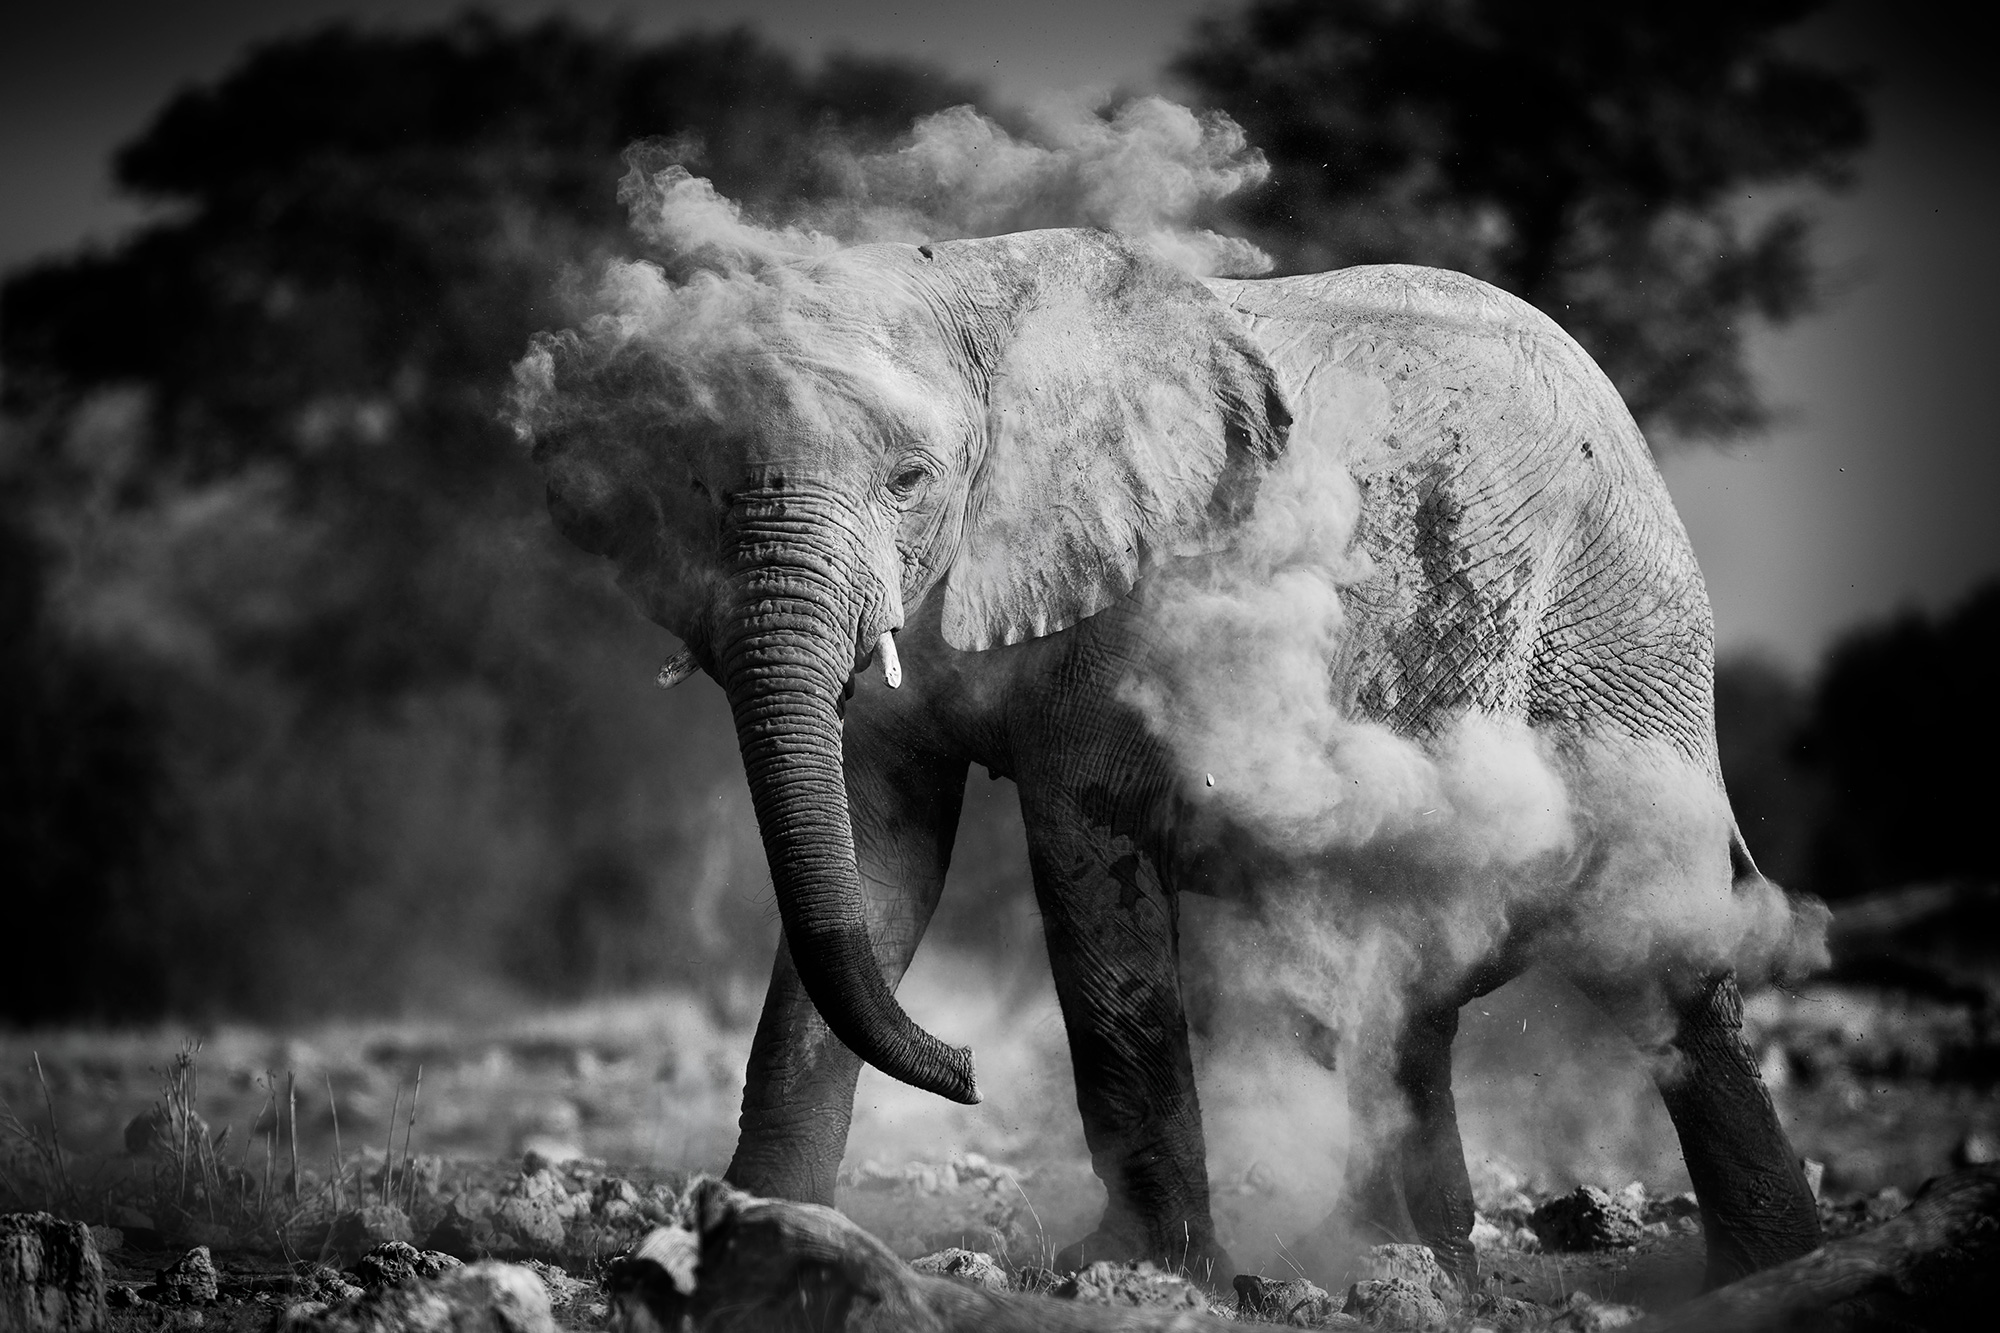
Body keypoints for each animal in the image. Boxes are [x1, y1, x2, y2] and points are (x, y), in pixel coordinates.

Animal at [510, 225, 1825, 1289]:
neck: (964, 296)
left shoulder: (1141, 597)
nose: (967, 1069)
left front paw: (1130, 1268)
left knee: (1655, 937)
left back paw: (1762, 1271)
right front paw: (762, 1228)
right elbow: (875, 871)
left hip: (1620, 633)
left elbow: (1085, 881)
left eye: (909, 480)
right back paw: (1418, 1266)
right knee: (1408, 959)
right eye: (695, 482)